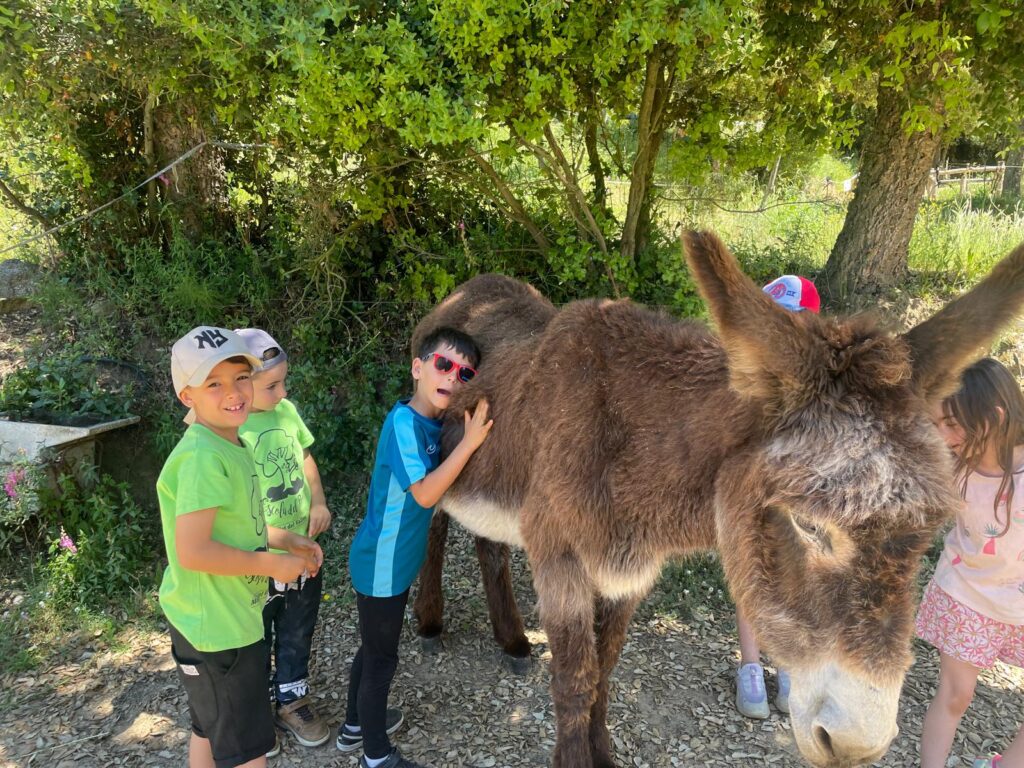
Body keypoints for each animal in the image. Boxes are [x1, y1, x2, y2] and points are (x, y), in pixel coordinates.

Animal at [410, 231, 1024, 768]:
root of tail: (471, 287)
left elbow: (605, 671)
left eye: (927, 534)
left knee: (488, 544)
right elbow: (574, 682)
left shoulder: (630, 575)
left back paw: (513, 641)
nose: (857, 745)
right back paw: (430, 624)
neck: (634, 446)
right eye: (808, 525)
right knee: (432, 522)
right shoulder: (562, 562)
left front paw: (603, 755)